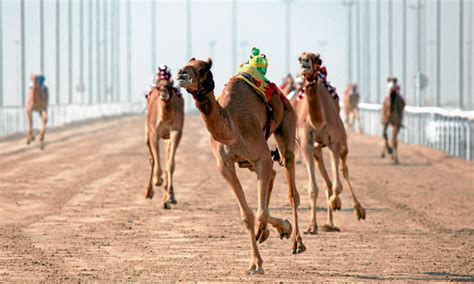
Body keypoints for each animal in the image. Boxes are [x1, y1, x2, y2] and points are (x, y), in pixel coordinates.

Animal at [176, 56, 306, 274]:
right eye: (184, 65)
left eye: (202, 69)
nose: (181, 75)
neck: (231, 129)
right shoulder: (225, 166)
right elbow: (247, 215)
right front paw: (255, 263)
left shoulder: (261, 156)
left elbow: (261, 212)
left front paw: (285, 228)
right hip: (251, 162)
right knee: (272, 176)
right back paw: (264, 233)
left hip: (286, 122)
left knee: (291, 189)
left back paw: (297, 242)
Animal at [292, 52, 366, 234]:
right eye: (300, 58)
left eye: (316, 59)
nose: (305, 63)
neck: (318, 122)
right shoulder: (306, 144)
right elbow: (313, 189)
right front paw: (312, 226)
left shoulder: (334, 143)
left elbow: (338, 185)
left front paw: (336, 202)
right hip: (317, 149)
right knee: (326, 179)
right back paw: (328, 223)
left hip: (342, 140)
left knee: (343, 170)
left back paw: (358, 210)